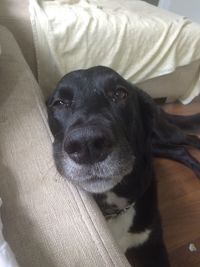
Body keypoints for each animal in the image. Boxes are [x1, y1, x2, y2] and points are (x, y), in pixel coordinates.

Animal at [46, 66, 200, 266]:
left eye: (120, 94)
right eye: (59, 102)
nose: (87, 144)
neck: (114, 210)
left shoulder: (154, 246)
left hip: (166, 133)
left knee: (190, 138)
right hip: (155, 144)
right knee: (180, 151)